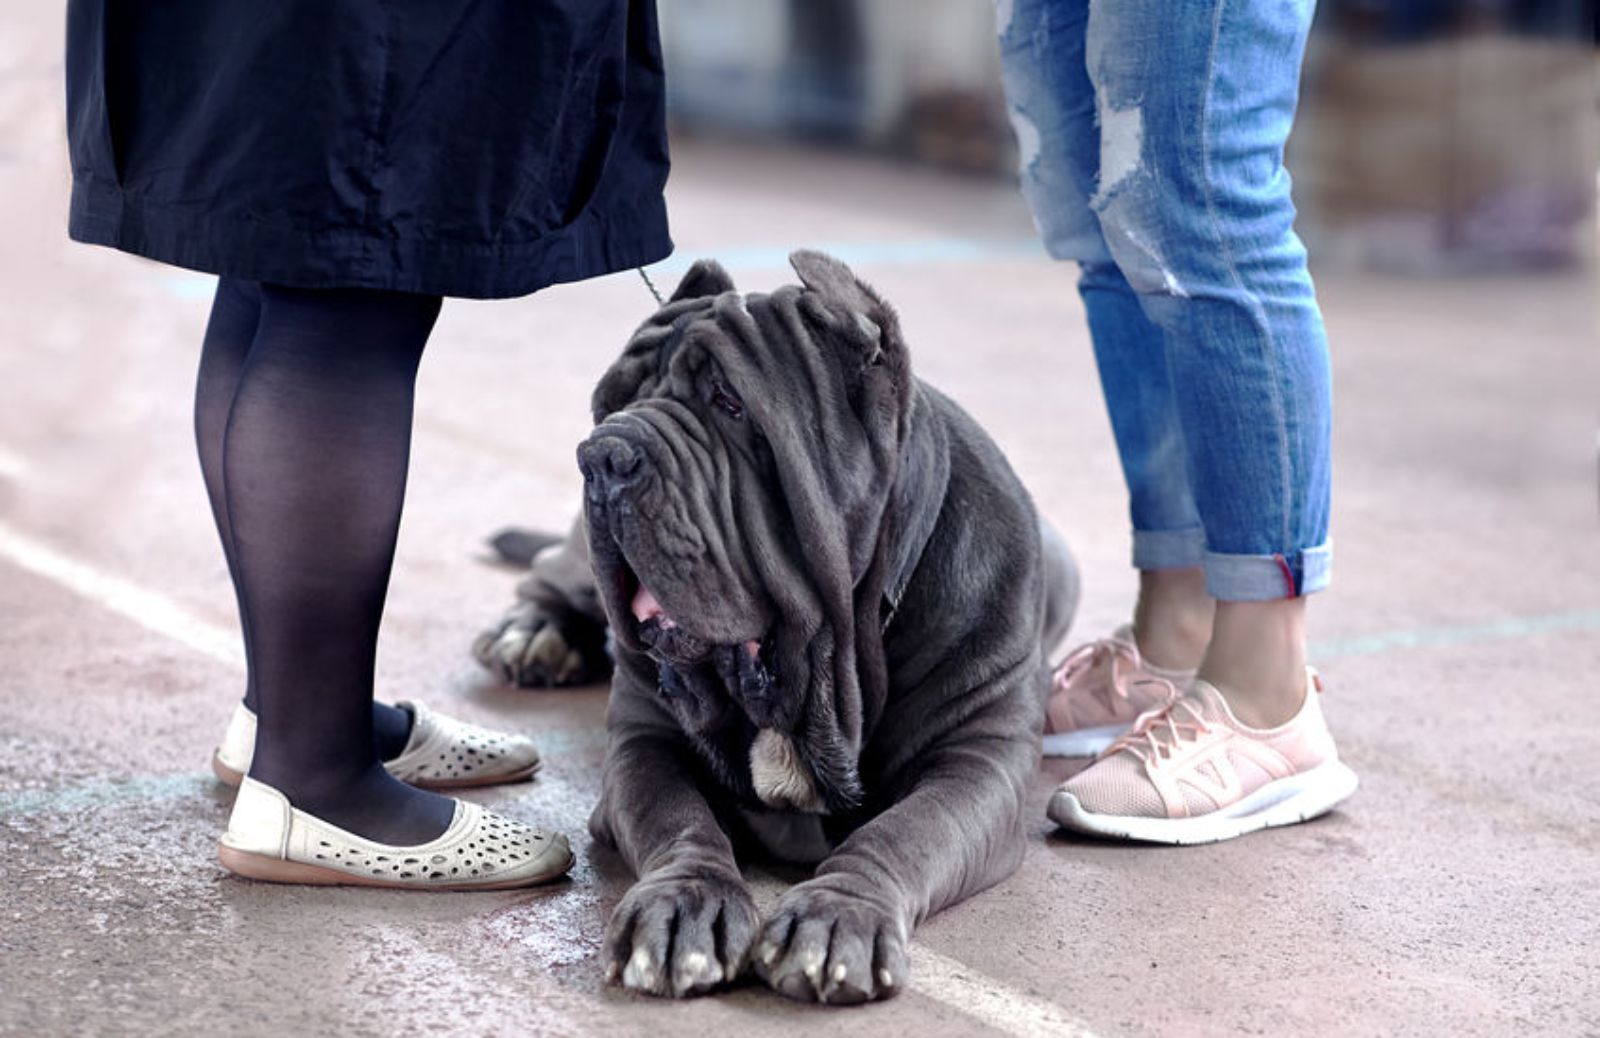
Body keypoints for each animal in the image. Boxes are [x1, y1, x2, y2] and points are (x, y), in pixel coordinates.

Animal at [473, 246, 1075, 998]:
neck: (823, 675)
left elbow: (906, 830)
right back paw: (533, 634)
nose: (603, 453)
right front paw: (685, 903)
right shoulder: (645, 743)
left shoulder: (979, 762)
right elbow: (679, 820)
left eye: (730, 403)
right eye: (609, 403)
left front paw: (838, 915)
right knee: (549, 575)